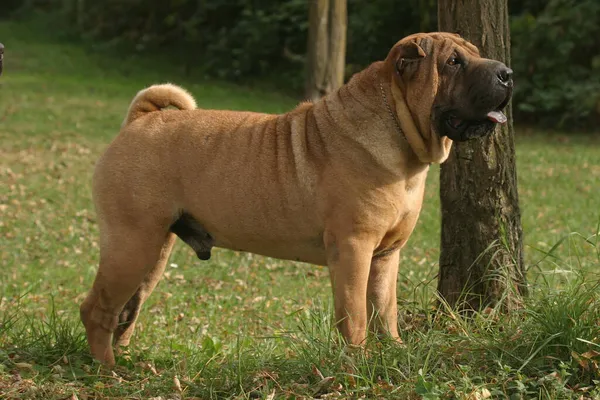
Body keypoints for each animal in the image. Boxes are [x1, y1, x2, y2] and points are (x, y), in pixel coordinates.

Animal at [79, 32, 510, 366]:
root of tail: (141, 119)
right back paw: (108, 370)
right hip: (132, 243)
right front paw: (357, 363)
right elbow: (354, 314)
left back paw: (126, 360)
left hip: (155, 250)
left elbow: (385, 310)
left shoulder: (387, 255)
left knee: (128, 309)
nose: (507, 73)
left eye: (474, 52)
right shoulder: (352, 249)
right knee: (97, 308)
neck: (399, 134)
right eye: (453, 62)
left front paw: (394, 352)